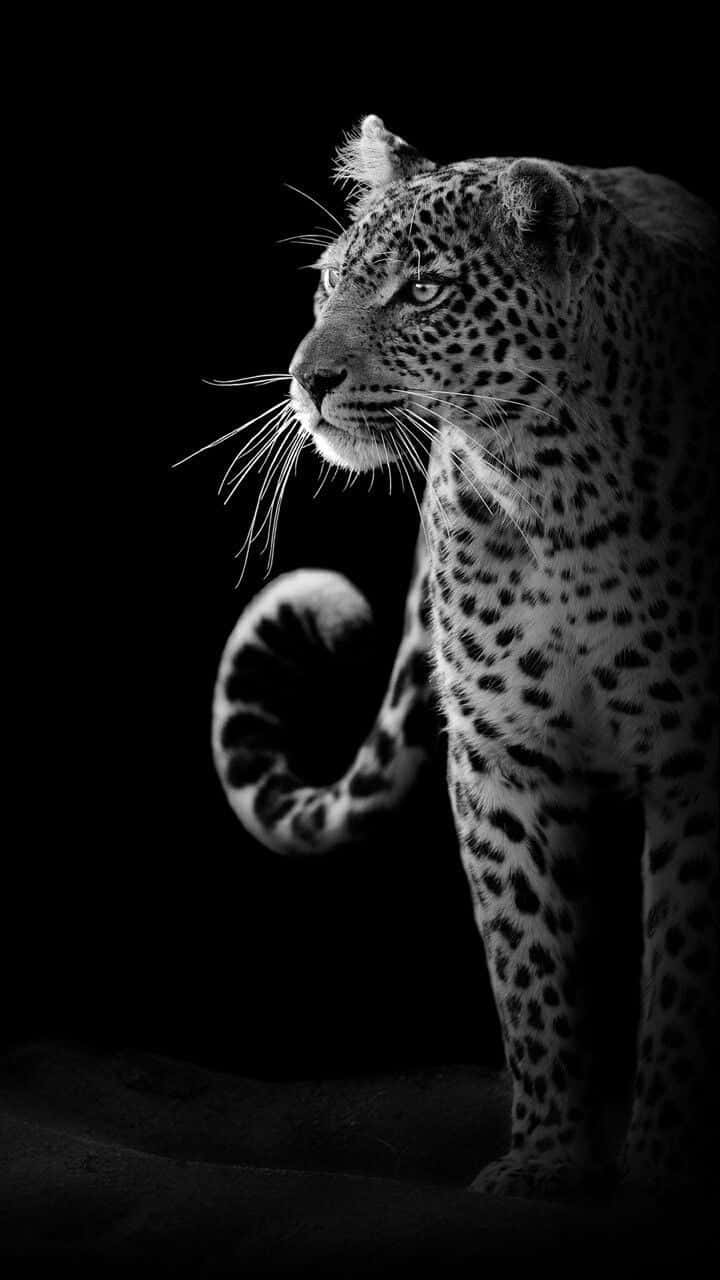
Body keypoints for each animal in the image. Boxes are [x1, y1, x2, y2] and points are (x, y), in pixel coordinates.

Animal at [211, 116, 719, 1199]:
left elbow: (685, 959)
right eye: (330, 281)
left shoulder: (698, 756)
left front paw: (663, 1162)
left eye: (423, 290)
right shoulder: (501, 753)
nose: (305, 378)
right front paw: (547, 1158)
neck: (556, 482)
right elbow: (529, 955)